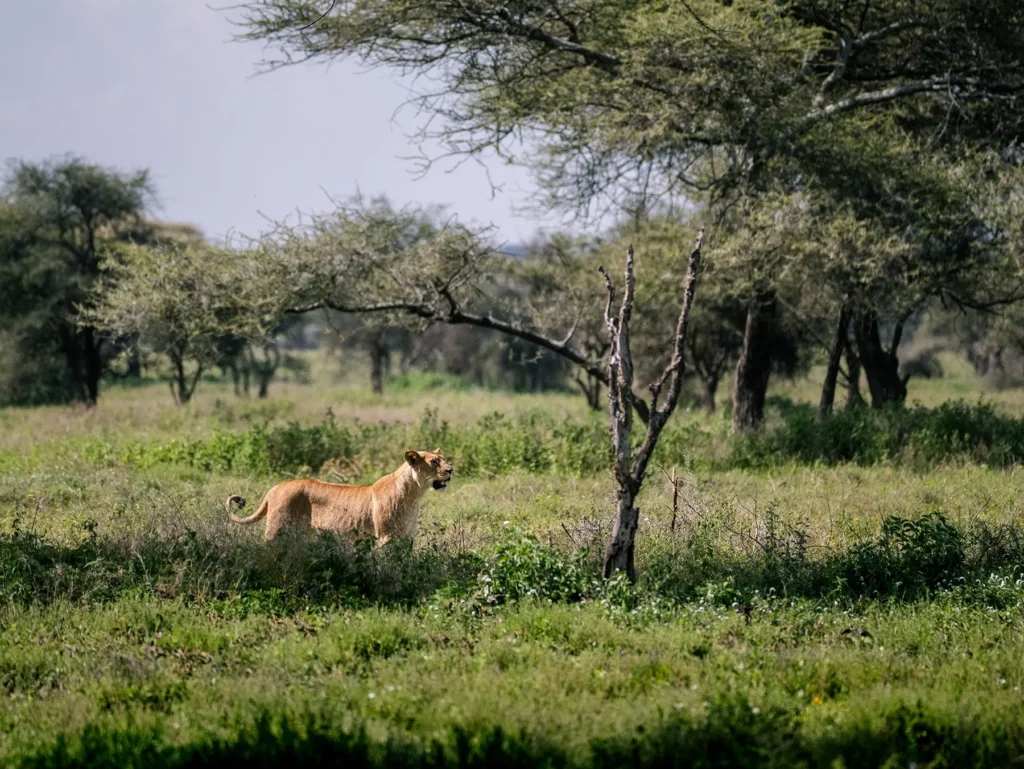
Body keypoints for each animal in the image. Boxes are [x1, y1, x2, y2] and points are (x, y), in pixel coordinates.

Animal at [225, 449, 453, 544]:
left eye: (444, 459)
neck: (414, 494)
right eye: (434, 462)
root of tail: (275, 487)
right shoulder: (385, 537)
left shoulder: (406, 539)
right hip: (275, 531)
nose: (451, 469)